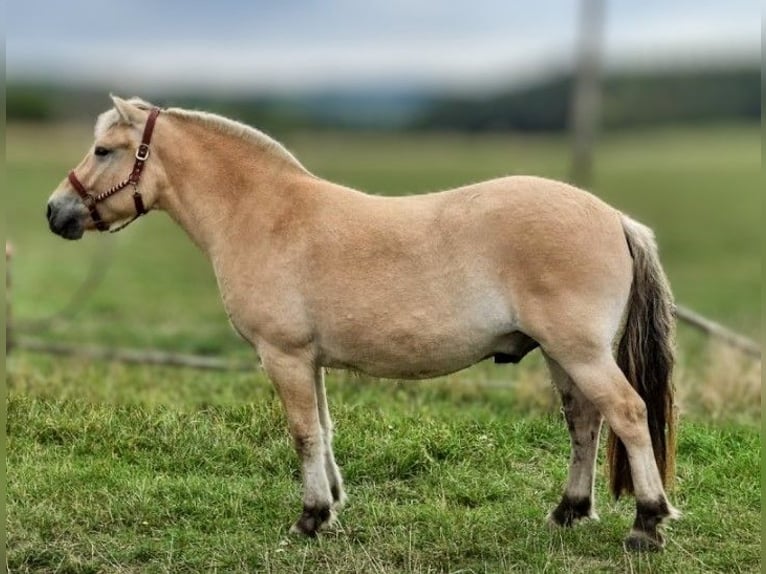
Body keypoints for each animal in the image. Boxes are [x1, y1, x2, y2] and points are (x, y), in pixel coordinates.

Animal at [46, 96, 679, 550]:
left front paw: (309, 518)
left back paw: (646, 524)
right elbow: (323, 430)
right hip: (561, 354)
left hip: (580, 352)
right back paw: (568, 512)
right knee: (585, 422)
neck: (263, 213)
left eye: (103, 150)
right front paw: (330, 503)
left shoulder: (283, 356)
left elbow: (302, 433)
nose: (56, 212)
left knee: (626, 413)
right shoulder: (309, 360)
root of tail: (614, 217)